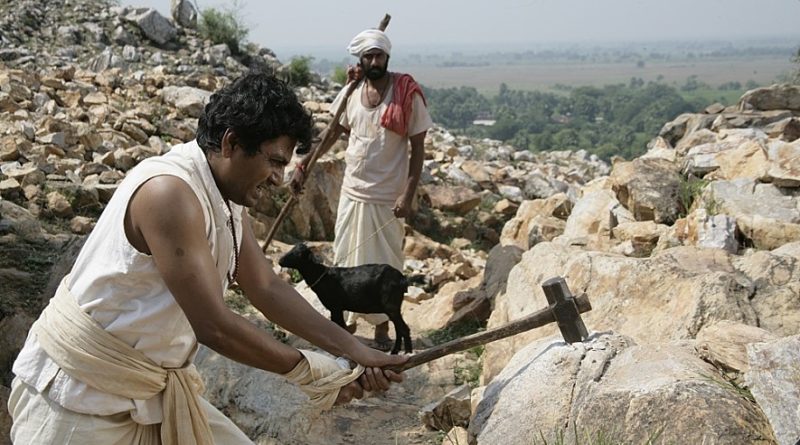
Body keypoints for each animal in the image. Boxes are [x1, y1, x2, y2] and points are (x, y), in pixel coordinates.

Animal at [278, 243, 412, 354]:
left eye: (298, 254)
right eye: (291, 249)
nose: (280, 261)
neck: (323, 276)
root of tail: (402, 279)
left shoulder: (335, 307)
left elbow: (340, 328)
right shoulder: (337, 309)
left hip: (391, 305)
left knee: (404, 328)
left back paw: (408, 353)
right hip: (394, 308)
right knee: (399, 329)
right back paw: (396, 351)